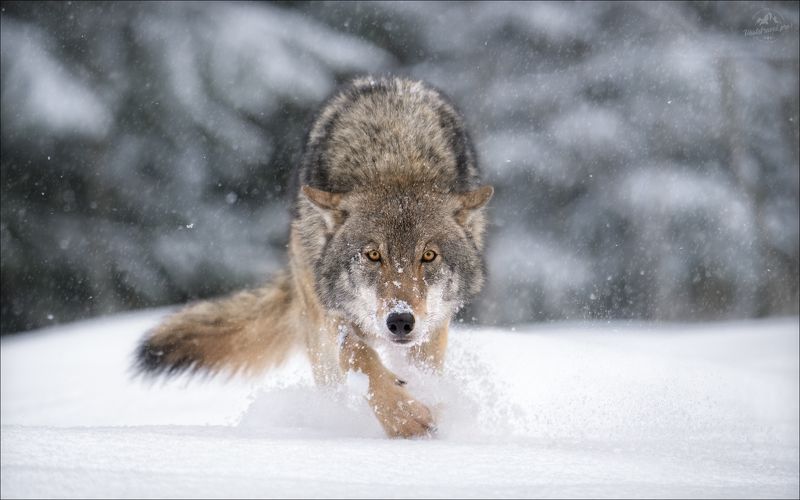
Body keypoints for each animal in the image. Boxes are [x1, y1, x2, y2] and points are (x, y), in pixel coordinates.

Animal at [135, 76, 493, 438]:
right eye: (373, 255)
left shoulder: (433, 325)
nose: (401, 321)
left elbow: (422, 370)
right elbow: (358, 356)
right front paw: (403, 416)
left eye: (429, 256)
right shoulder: (331, 312)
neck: (394, 157)